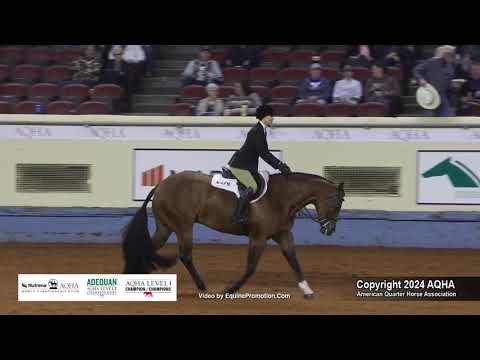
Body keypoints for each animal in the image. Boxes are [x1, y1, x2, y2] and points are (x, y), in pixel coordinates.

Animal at [122, 172, 344, 298]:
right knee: (185, 256)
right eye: (337, 203)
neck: (281, 198)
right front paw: (229, 290)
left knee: (148, 248)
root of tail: (161, 184)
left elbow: (293, 260)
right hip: (183, 226)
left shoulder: (283, 234)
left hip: (166, 227)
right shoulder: (258, 237)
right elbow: (251, 267)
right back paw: (202, 287)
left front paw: (307, 291)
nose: (329, 230)